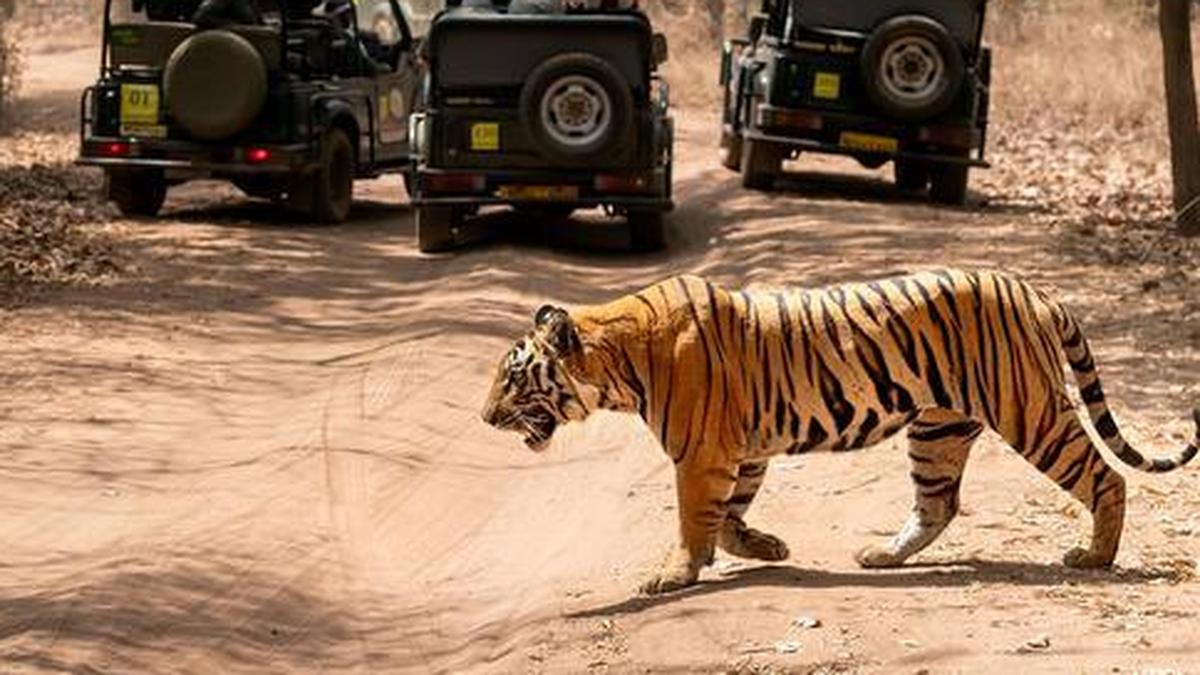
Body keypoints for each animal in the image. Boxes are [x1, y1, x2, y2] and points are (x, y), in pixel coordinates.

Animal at [480, 269, 1199, 595]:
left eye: (513, 378)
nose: (484, 417)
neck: (619, 358)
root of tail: (1033, 288)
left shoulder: (702, 451)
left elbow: (693, 517)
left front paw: (677, 572)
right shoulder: (741, 449)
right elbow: (729, 513)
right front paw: (764, 546)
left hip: (1032, 411)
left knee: (1105, 476)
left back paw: (1095, 556)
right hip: (938, 430)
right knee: (937, 504)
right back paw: (882, 556)